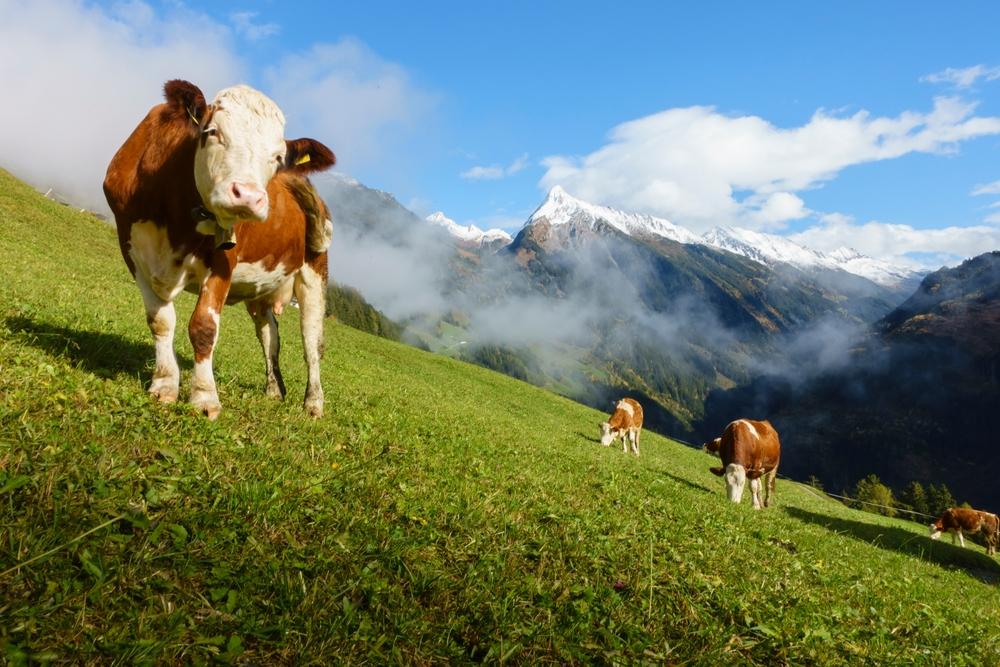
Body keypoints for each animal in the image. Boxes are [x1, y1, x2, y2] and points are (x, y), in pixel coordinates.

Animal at [103, 81, 336, 420]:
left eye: (278, 157)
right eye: (212, 132)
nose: (249, 196)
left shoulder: (224, 259)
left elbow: (203, 327)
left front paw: (204, 397)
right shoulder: (131, 249)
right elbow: (160, 320)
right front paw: (165, 384)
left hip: (315, 272)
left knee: (312, 340)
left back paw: (314, 403)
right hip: (260, 288)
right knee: (270, 335)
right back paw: (274, 390)